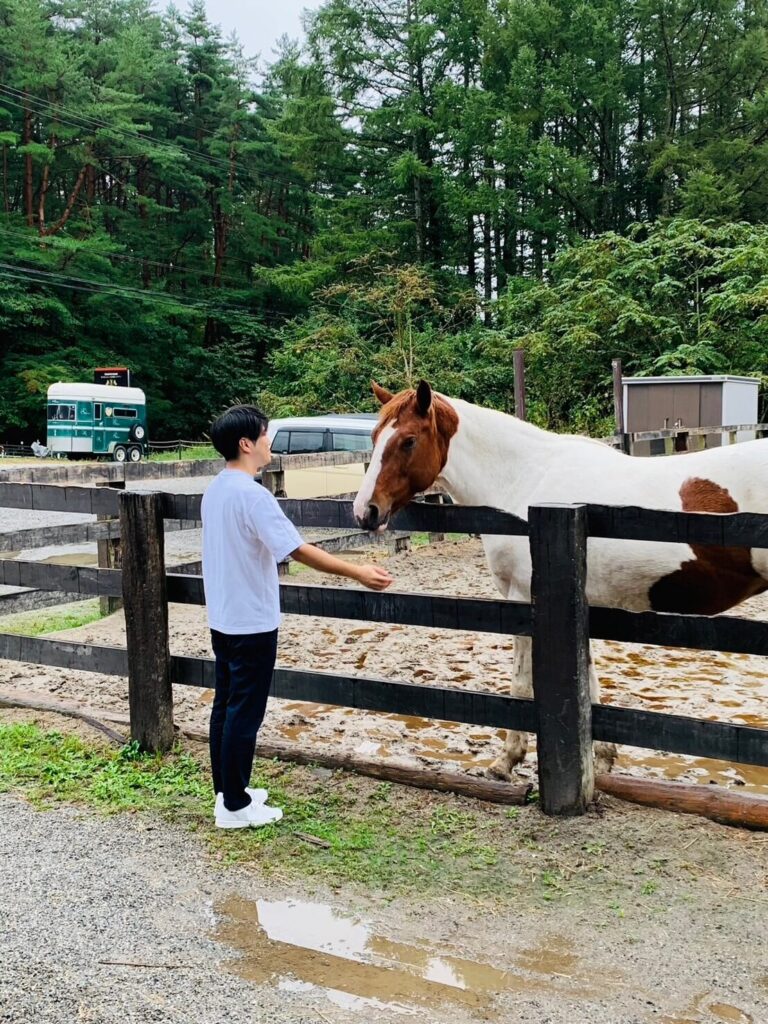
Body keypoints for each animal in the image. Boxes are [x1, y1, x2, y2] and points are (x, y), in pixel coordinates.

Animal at [353, 380, 768, 781]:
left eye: (408, 440)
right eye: (373, 437)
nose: (364, 512)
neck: (526, 479)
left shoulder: (523, 599)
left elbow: (521, 684)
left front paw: (506, 761)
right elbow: (590, 683)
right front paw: (602, 759)